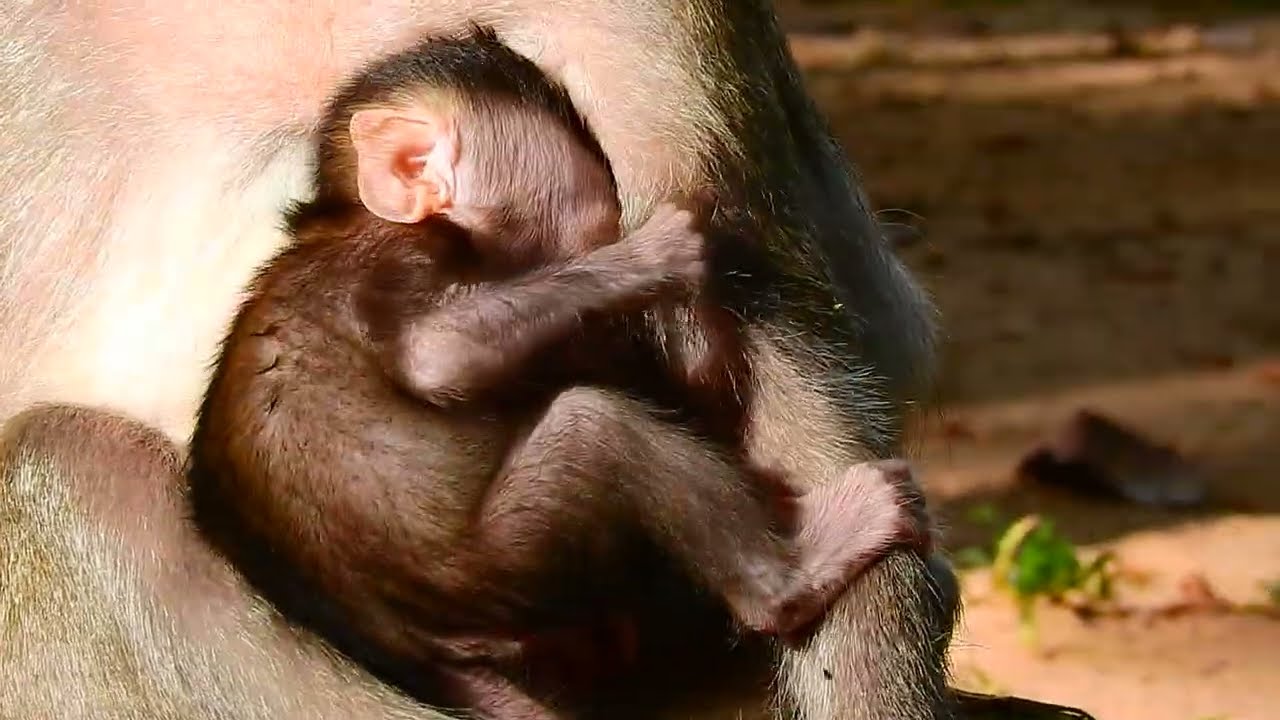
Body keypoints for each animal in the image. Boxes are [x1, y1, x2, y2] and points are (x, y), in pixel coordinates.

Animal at [0, 3, 960, 720]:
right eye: (585, 207)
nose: (607, 234)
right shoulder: (402, 264)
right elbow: (442, 352)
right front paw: (658, 258)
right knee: (66, 467)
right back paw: (789, 577)